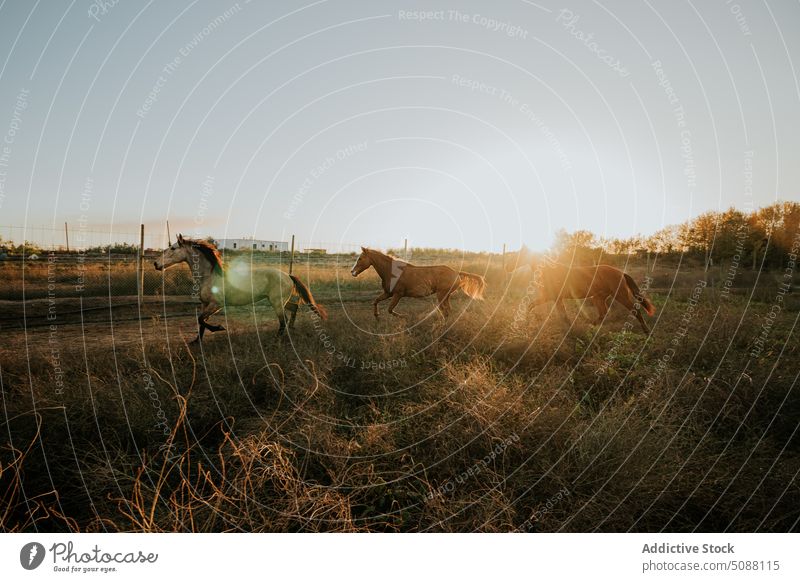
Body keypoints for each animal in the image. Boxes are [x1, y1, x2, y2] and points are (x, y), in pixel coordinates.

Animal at [153, 233, 328, 342]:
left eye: (173, 248)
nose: (156, 264)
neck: (209, 276)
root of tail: (288, 275)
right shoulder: (205, 304)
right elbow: (201, 322)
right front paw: (196, 342)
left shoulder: (216, 304)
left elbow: (201, 320)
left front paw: (219, 328)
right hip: (279, 301)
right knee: (294, 307)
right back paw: (292, 328)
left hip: (277, 302)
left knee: (283, 319)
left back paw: (277, 338)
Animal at [352, 246, 488, 320]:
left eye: (360, 258)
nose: (352, 272)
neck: (391, 272)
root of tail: (456, 272)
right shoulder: (388, 293)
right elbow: (375, 301)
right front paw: (376, 316)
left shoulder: (398, 294)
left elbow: (390, 310)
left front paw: (405, 317)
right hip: (446, 295)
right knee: (447, 310)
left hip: (441, 294)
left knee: (445, 310)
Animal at [506, 244, 656, 334]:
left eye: (517, 255)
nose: (508, 268)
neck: (549, 271)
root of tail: (621, 273)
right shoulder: (555, 298)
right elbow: (560, 313)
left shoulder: (551, 297)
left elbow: (533, 306)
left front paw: (525, 322)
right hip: (598, 297)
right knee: (603, 313)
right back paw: (592, 326)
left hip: (621, 295)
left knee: (635, 311)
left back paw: (647, 331)